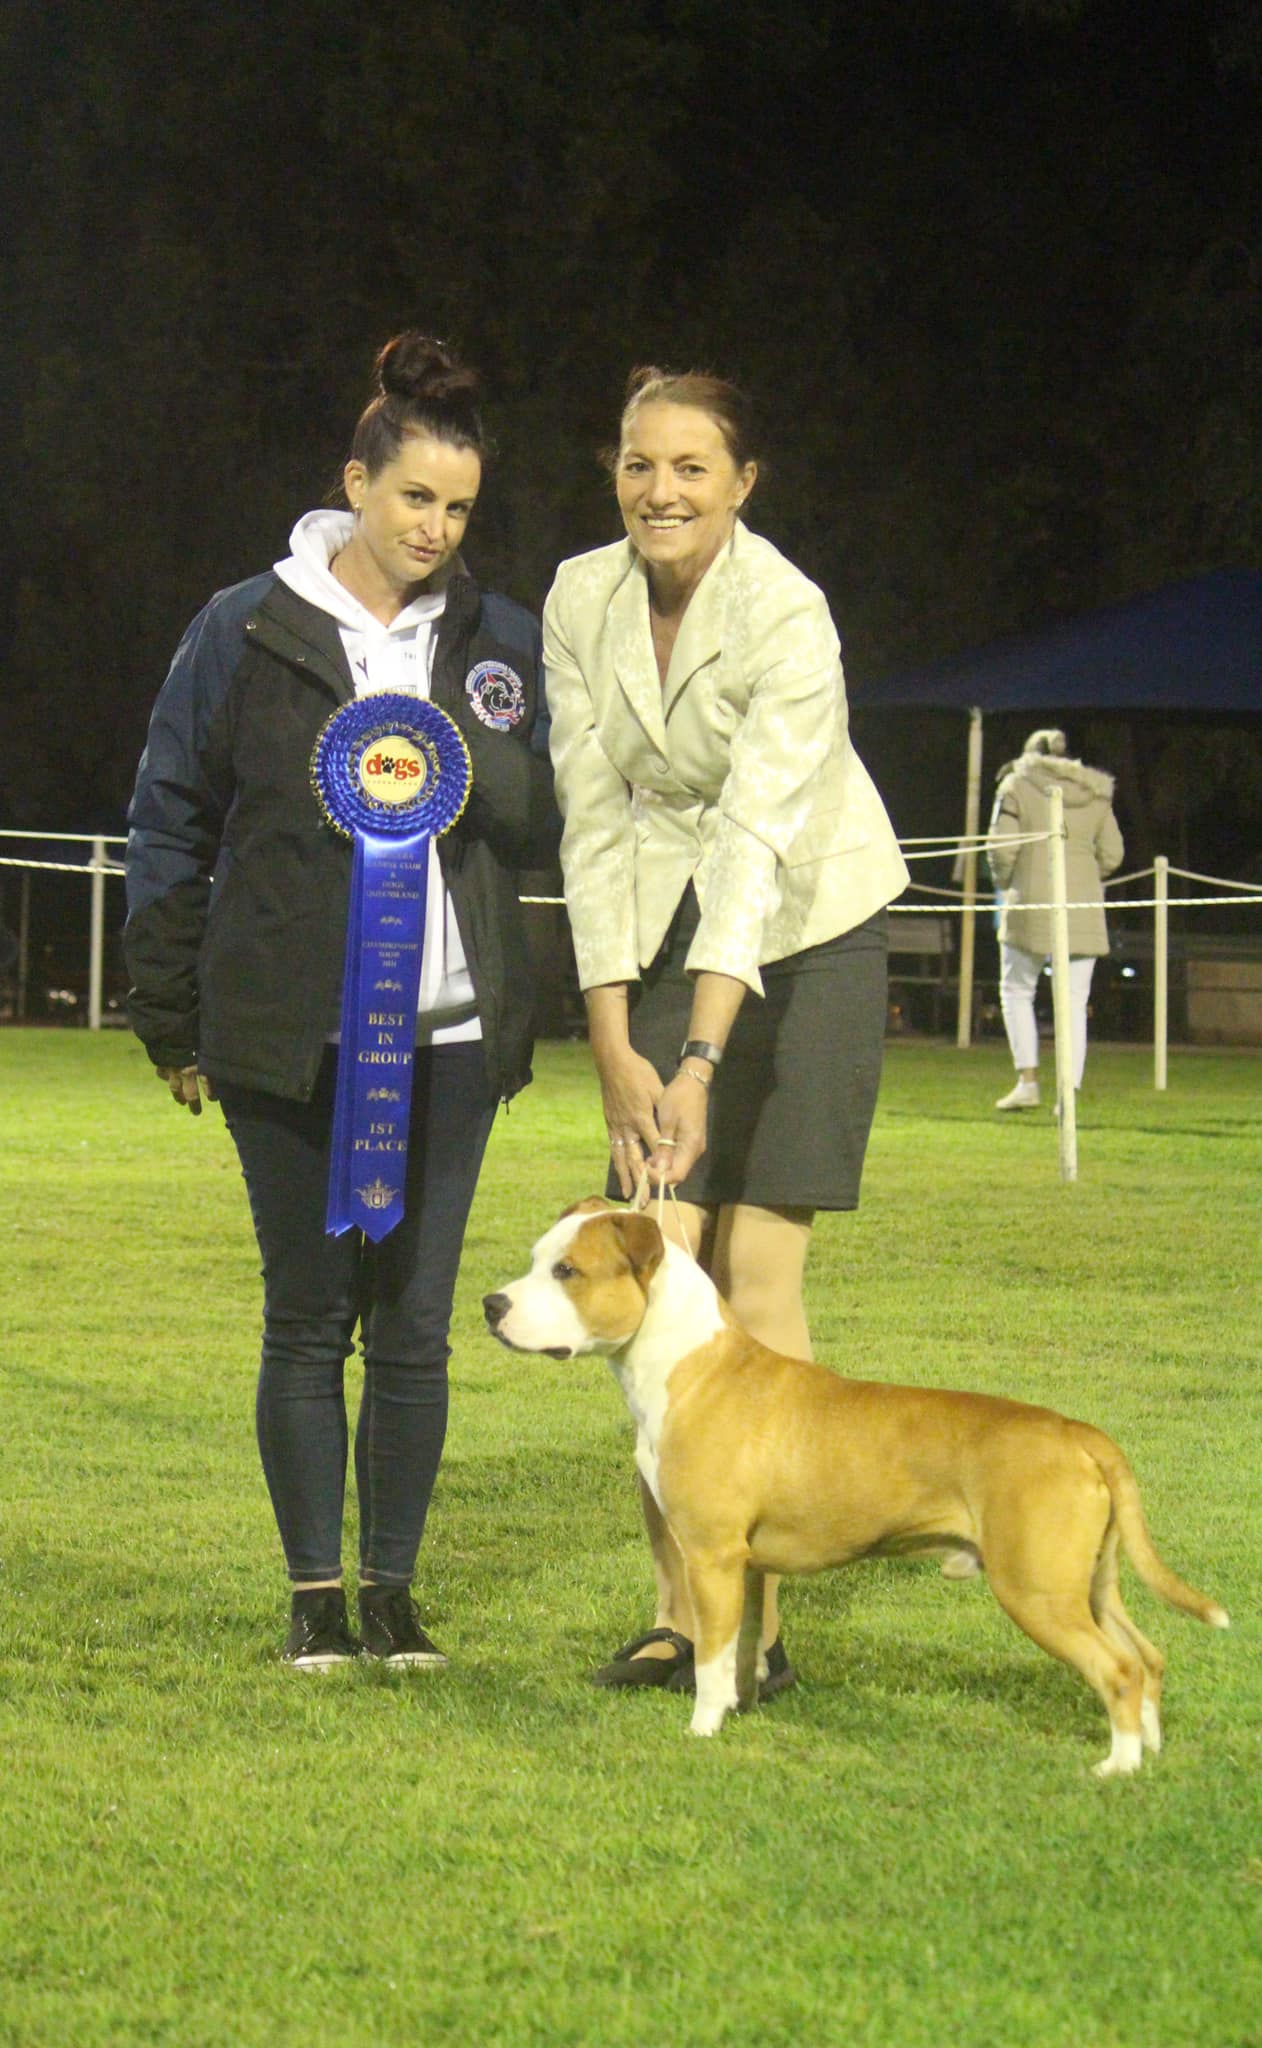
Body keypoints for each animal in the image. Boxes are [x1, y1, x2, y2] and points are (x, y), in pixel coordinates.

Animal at [484, 1199, 1228, 1775]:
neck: (685, 1360)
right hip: (1091, 1580)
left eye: (568, 1271)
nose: (491, 1304)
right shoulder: (747, 1565)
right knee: (1148, 1656)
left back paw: (1117, 1767)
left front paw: (701, 1729)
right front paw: (742, 1707)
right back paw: (1149, 1751)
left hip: (1036, 1588)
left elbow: (713, 1658)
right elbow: (743, 1649)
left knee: (1118, 1669)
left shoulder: (711, 1557)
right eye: (536, 1259)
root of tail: (1080, 1434)